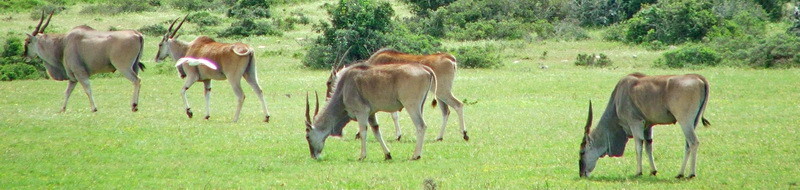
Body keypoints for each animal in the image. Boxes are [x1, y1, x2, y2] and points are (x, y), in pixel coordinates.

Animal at [310, 62, 440, 160]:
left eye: (307, 136)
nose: (313, 155)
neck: (344, 87)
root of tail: (425, 68)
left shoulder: (362, 112)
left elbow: (363, 132)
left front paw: (362, 156)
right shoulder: (371, 114)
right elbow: (376, 131)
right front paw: (387, 155)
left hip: (411, 106)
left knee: (421, 126)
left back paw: (415, 155)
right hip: (420, 106)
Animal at [324, 48, 466, 142]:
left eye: (329, 82)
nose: (327, 98)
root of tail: (450, 58)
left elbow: (393, 115)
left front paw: (397, 135)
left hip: (443, 91)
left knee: (458, 105)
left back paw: (464, 134)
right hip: (440, 94)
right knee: (446, 111)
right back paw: (439, 137)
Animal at [580, 72, 708, 178]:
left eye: (582, 152)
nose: (581, 174)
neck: (618, 99)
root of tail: (699, 78)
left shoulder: (635, 122)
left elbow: (638, 146)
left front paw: (638, 172)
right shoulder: (648, 126)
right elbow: (648, 146)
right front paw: (653, 171)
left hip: (684, 121)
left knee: (693, 142)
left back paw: (691, 174)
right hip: (693, 122)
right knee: (688, 144)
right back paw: (680, 173)